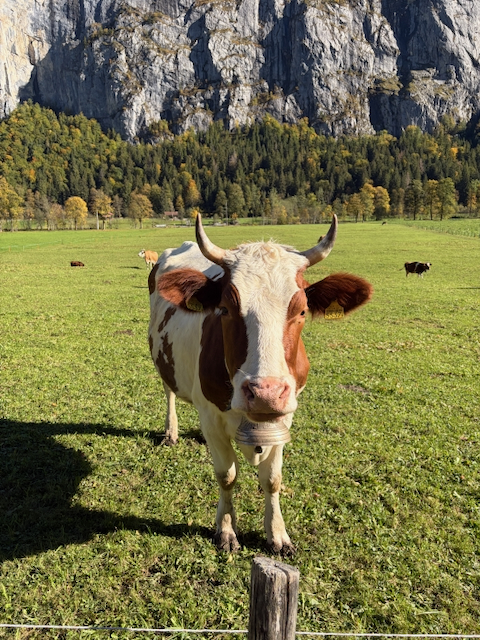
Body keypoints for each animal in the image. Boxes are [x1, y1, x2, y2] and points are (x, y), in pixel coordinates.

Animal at [148, 214, 373, 554]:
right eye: (225, 309)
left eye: (302, 310)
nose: (265, 394)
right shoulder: (210, 415)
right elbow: (226, 475)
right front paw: (226, 529)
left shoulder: (286, 414)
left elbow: (272, 479)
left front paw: (277, 533)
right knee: (169, 392)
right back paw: (171, 431)